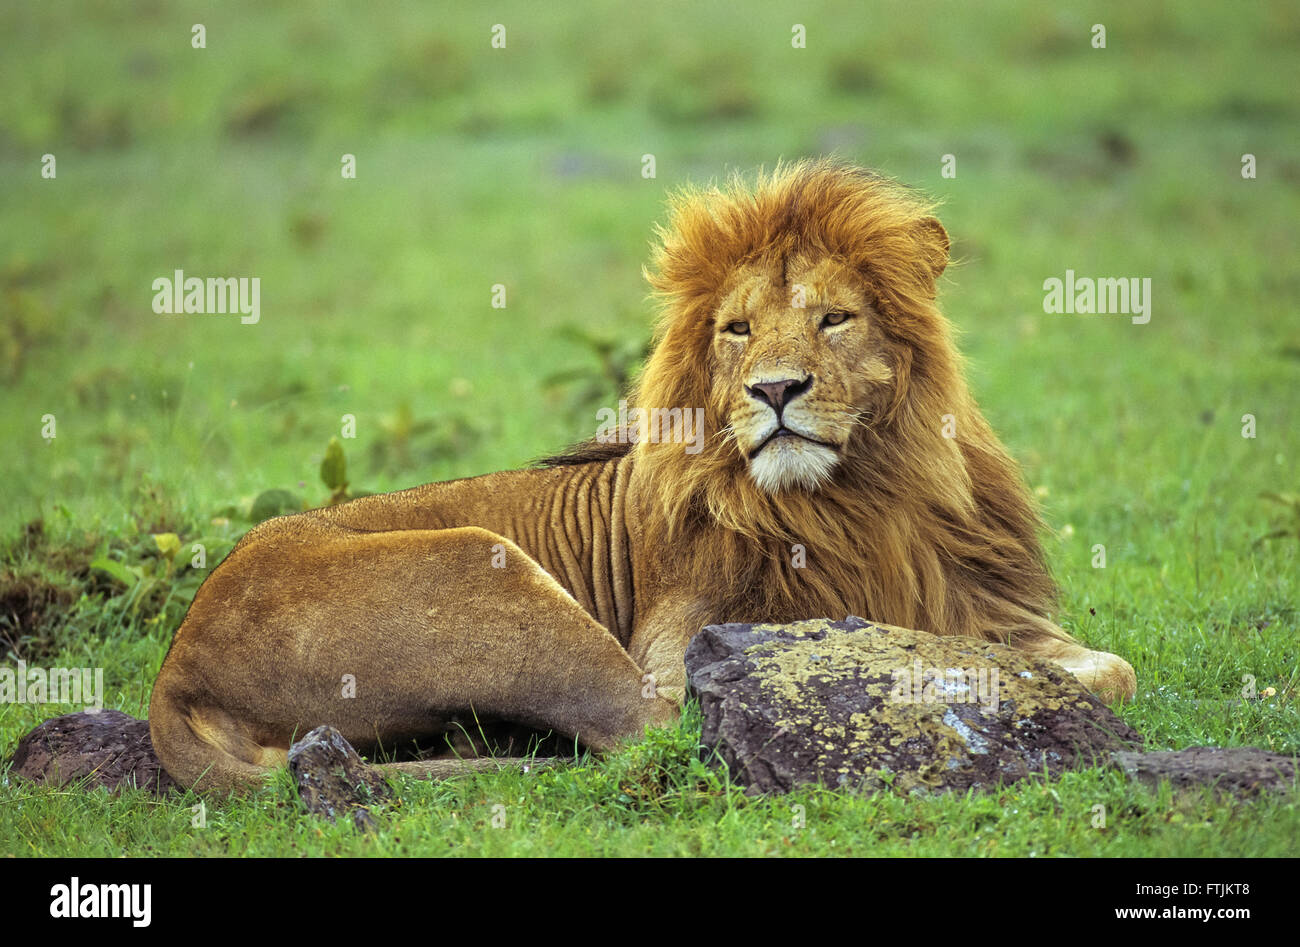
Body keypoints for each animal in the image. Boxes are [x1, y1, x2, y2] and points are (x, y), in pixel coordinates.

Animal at [147, 160, 1133, 790]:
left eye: (835, 319)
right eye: (738, 330)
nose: (777, 389)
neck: (856, 497)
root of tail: (177, 662)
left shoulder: (980, 595)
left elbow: (1109, 668)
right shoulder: (683, 642)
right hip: (482, 565)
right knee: (646, 732)